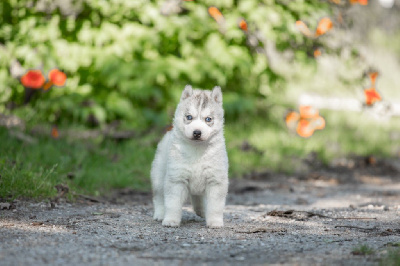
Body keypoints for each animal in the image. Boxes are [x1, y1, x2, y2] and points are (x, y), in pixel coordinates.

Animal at [150, 85, 228, 229]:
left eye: (208, 119)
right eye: (189, 117)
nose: (197, 132)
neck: (197, 149)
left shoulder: (215, 180)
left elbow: (215, 206)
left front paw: (215, 221)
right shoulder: (176, 179)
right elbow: (172, 204)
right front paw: (171, 220)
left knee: (198, 198)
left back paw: (202, 211)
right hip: (158, 176)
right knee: (159, 197)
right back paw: (160, 214)